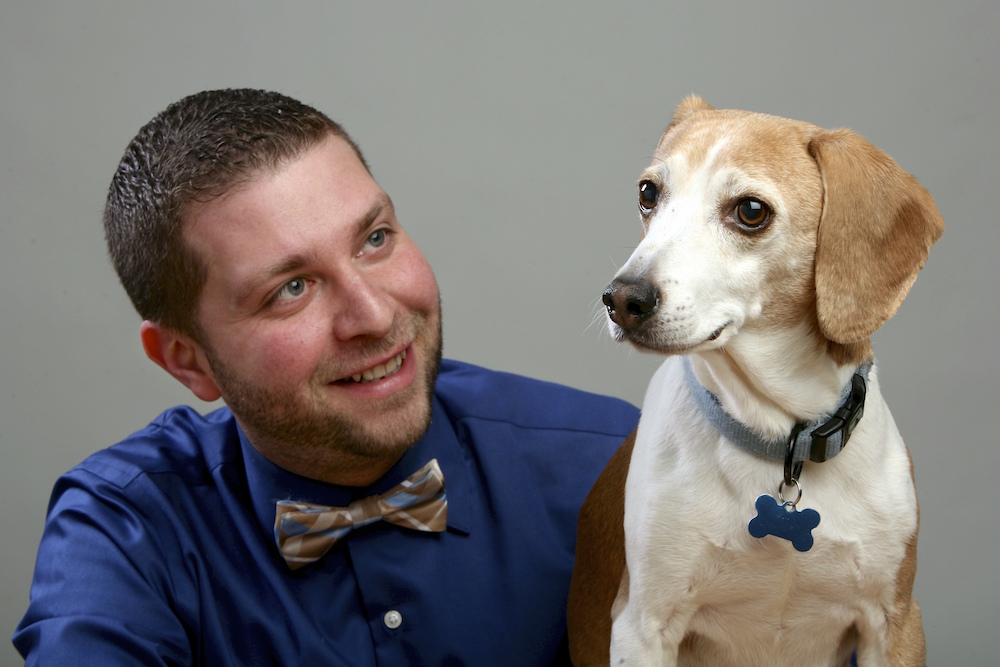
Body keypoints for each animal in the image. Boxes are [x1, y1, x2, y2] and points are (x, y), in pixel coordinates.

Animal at [568, 95, 940, 667]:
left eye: (750, 211)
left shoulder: (895, 622)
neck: (781, 439)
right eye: (649, 193)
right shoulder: (642, 624)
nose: (622, 299)